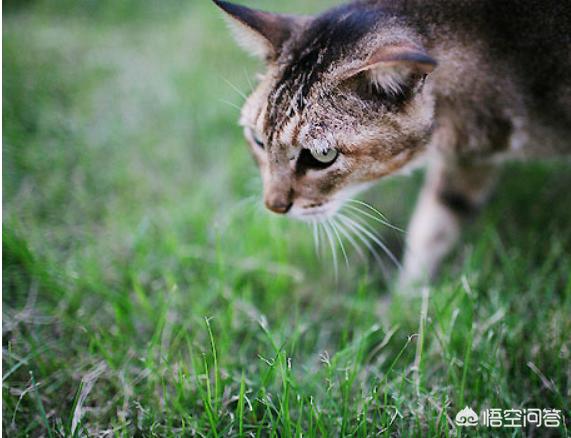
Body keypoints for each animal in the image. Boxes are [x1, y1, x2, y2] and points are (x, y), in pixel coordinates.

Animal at [212, 0, 568, 288]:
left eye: (322, 155)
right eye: (258, 140)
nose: (273, 206)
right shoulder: (470, 156)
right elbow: (435, 222)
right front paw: (404, 303)